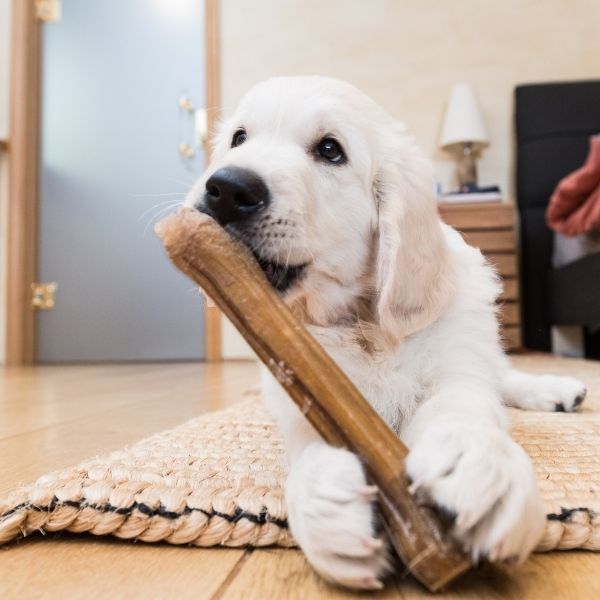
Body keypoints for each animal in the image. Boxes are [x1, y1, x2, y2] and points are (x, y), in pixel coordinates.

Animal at [186, 76, 584, 592]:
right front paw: (323, 507)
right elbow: (308, 442)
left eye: (330, 150)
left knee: (502, 374)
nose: (226, 188)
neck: (362, 324)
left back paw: (556, 390)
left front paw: (478, 463)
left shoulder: (457, 363)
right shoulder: (298, 382)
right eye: (239, 138)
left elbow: (463, 404)